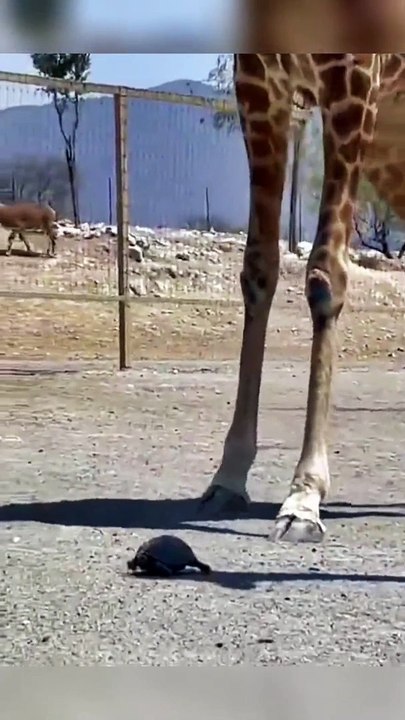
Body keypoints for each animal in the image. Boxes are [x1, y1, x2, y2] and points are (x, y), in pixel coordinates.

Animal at [199, 53, 405, 542]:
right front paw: (227, 479)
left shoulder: (354, 82)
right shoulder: (257, 85)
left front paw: (303, 499)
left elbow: (325, 272)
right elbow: (258, 268)